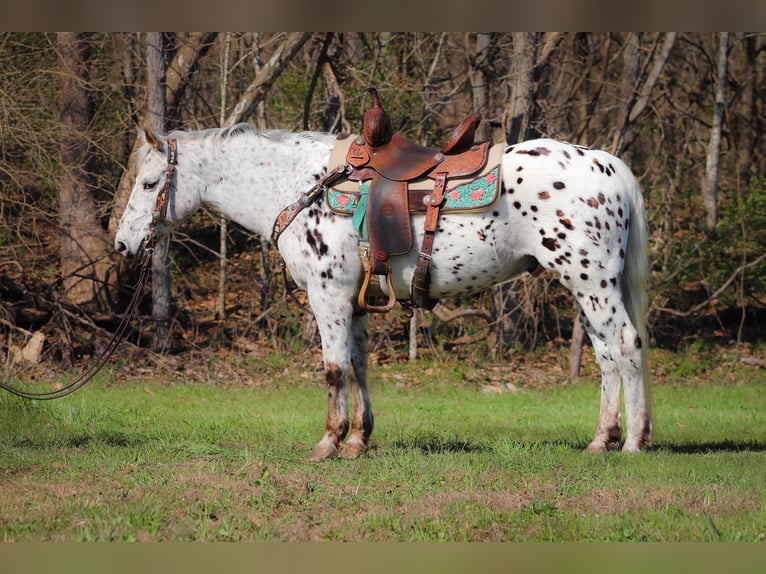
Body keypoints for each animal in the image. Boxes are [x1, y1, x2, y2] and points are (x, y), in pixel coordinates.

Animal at [114, 124, 656, 462]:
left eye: (149, 182)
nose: (123, 243)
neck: (301, 185)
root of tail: (607, 164)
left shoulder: (328, 295)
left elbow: (334, 369)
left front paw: (328, 443)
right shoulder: (353, 303)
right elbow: (358, 366)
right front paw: (359, 439)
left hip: (591, 282)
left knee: (625, 345)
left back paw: (633, 442)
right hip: (585, 288)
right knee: (606, 355)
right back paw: (602, 440)